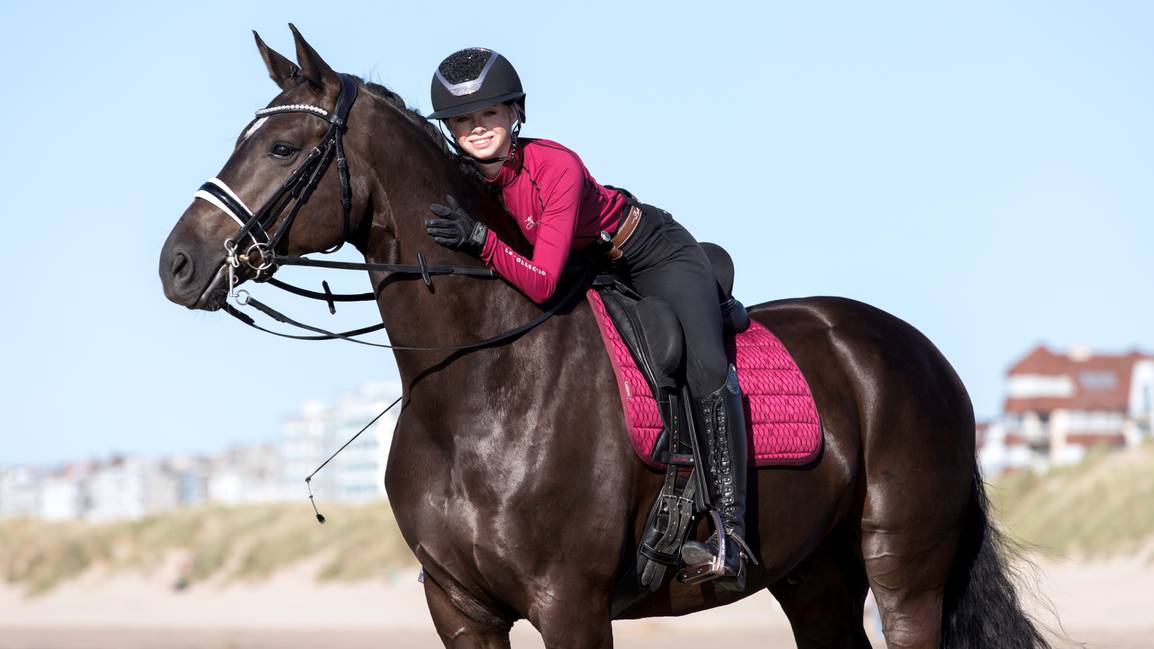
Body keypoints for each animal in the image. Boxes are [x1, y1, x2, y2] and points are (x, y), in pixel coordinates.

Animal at [158, 26, 1052, 646]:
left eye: (282, 146)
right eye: (240, 141)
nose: (178, 262)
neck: (479, 386)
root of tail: (920, 354)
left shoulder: (571, 605)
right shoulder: (460, 609)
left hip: (902, 574)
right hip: (818, 579)